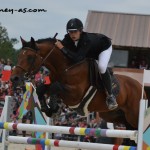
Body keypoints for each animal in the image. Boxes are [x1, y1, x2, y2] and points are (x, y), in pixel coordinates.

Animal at [10, 36, 145, 130]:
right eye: (19, 56)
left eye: (30, 57)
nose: (14, 78)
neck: (65, 67)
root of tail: (140, 87)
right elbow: (41, 88)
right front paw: (47, 108)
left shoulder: (75, 95)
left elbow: (55, 87)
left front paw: (53, 107)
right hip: (114, 115)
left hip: (133, 115)